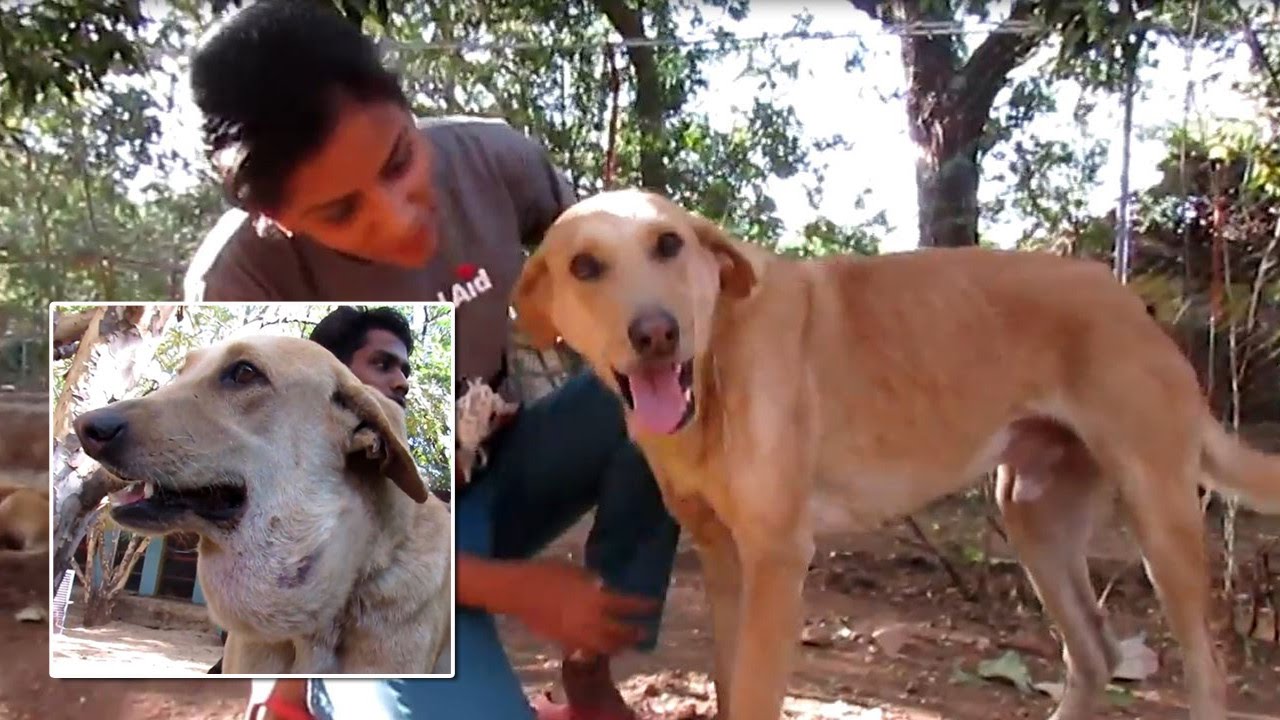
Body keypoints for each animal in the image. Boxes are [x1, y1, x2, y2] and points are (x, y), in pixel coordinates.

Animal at [509, 188, 1280, 717]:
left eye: (668, 244)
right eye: (585, 266)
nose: (657, 334)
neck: (717, 365)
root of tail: (1127, 299)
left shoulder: (778, 561)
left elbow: (753, 697)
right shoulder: (726, 560)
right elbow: (729, 689)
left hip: (1159, 519)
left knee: (1206, 671)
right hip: (1034, 516)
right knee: (1095, 653)